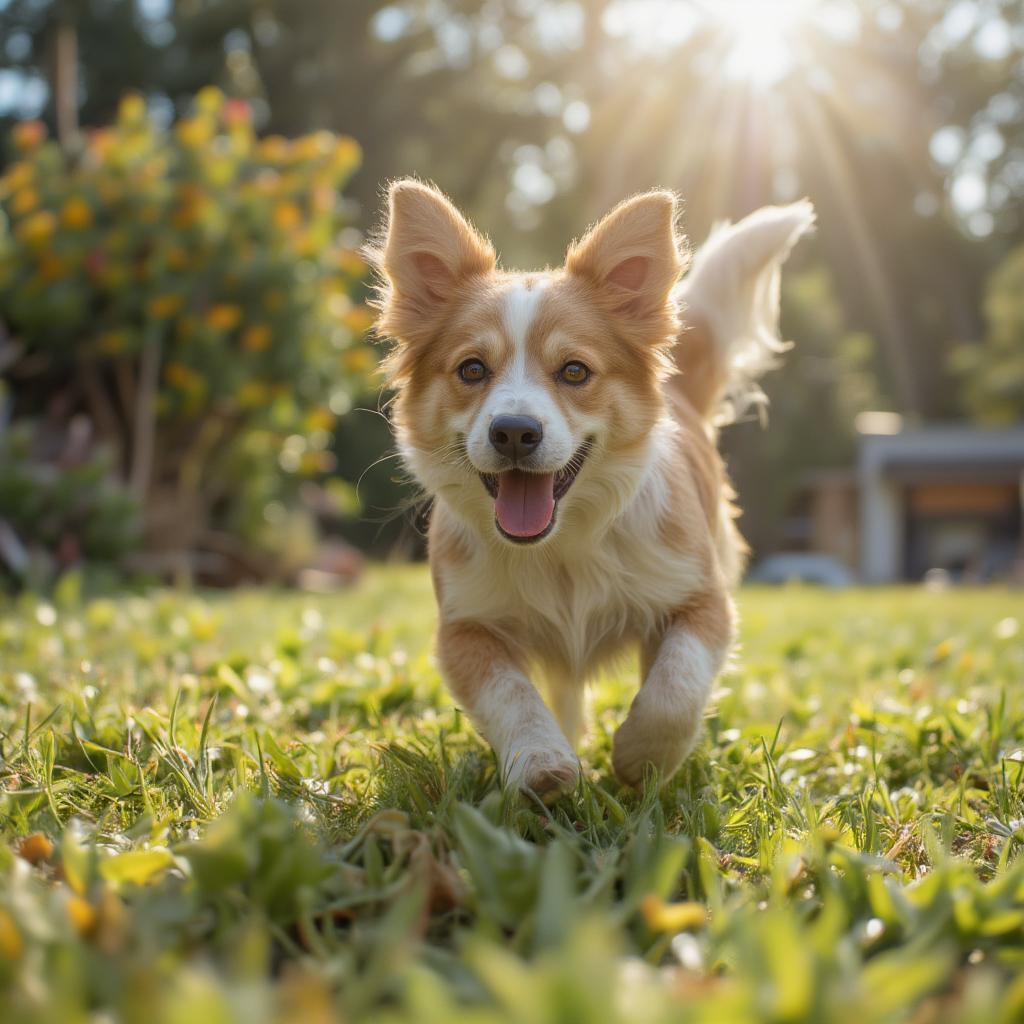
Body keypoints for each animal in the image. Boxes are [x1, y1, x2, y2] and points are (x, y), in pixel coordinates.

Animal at [372, 180, 811, 794]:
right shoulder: (464, 627)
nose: (514, 431)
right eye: (472, 370)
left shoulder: (702, 600)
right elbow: (512, 694)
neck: (561, 548)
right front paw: (543, 763)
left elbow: (675, 687)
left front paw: (641, 757)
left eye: (575, 371)